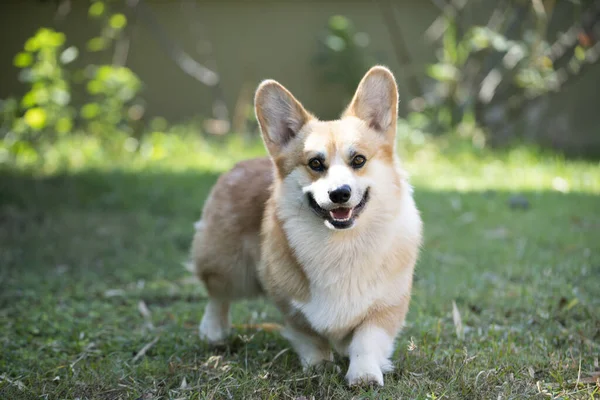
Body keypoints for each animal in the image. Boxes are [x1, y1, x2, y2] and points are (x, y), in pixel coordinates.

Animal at [192, 66, 422, 388]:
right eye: (315, 163)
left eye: (359, 160)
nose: (340, 194)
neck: (342, 244)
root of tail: (239, 165)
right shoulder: (291, 306)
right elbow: (309, 336)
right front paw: (318, 365)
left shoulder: (386, 305)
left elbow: (366, 340)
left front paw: (364, 374)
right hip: (230, 268)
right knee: (218, 296)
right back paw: (214, 332)